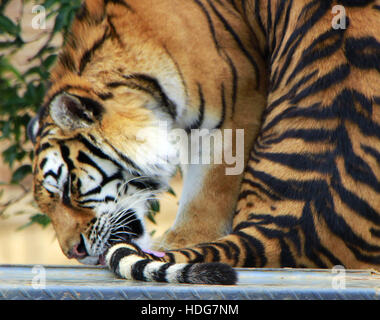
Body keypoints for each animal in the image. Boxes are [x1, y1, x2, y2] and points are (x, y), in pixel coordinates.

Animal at [28, 0, 380, 284]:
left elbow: (209, 189)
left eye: (68, 188)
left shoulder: (237, 104)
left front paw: (182, 241)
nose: (73, 252)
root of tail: (291, 225)